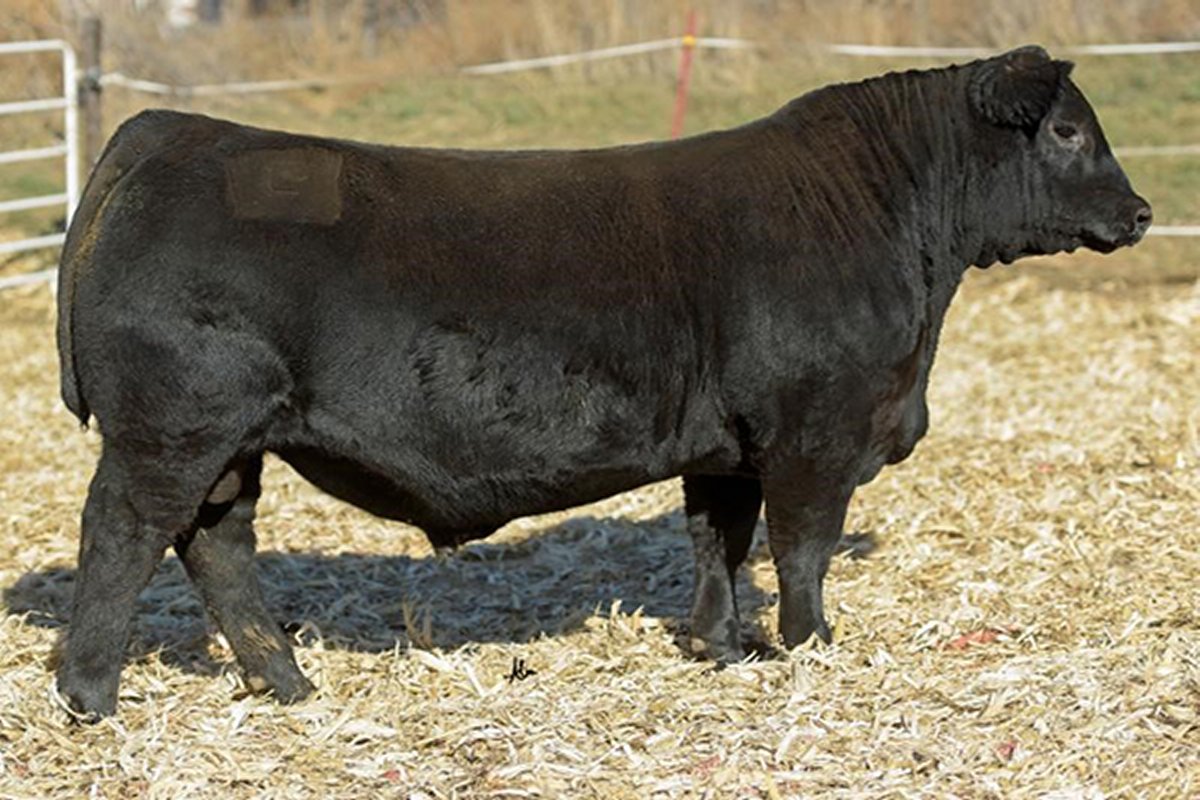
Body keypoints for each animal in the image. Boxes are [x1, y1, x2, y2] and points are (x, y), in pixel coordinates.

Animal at [53, 45, 1150, 719]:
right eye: (1066, 133)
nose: (1139, 213)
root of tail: (168, 131)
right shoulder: (815, 431)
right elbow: (802, 548)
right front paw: (811, 645)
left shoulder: (728, 443)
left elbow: (718, 542)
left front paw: (722, 646)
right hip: (171, 429)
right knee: (122, 536)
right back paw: (91, 696)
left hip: (229, 443)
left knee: (215, 545)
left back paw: (286, 682)